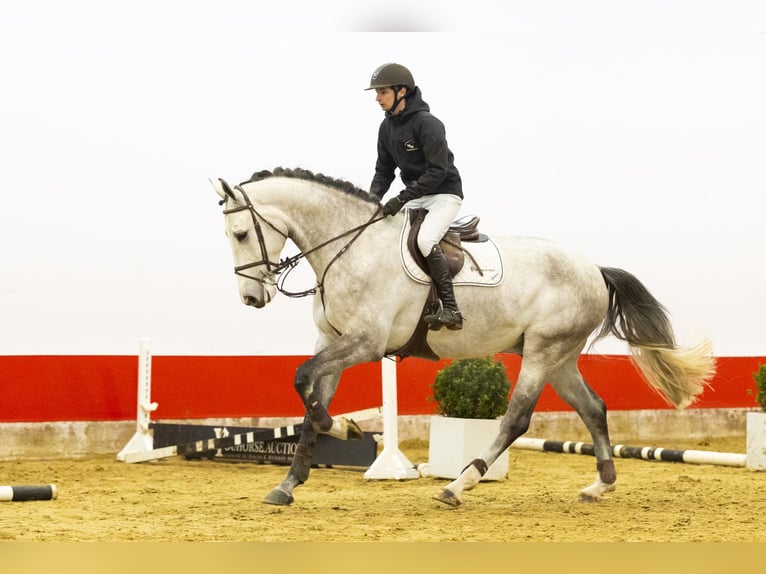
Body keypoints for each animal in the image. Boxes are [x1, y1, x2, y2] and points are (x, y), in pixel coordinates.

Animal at [210, 167, 715, 507]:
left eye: (241, 233)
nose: (251, 298)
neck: (349, 249)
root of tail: (593, 269)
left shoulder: (364, 343)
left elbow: (302, 380)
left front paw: (343, 427)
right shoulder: (328, 341)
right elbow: (309, 403)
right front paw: (289, 483)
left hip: (543, 351)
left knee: (516, 419)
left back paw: (459, 484)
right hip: (560, 357)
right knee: (594, 408)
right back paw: (600, 484)